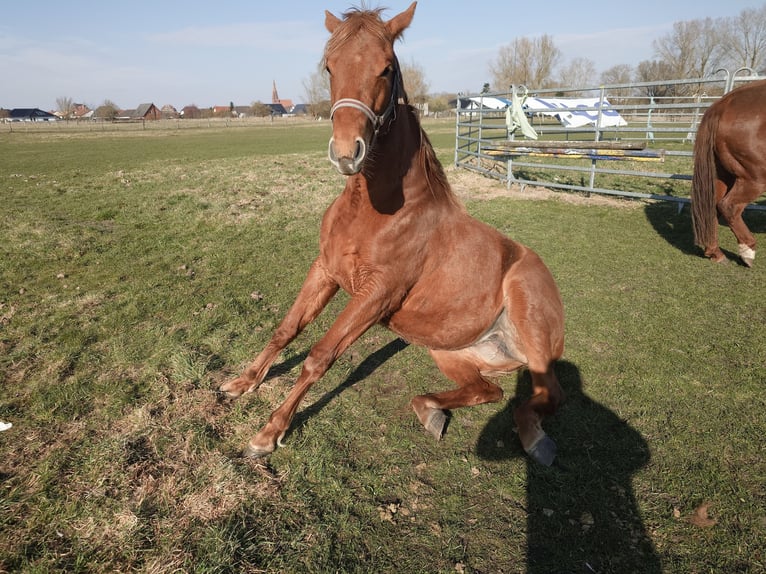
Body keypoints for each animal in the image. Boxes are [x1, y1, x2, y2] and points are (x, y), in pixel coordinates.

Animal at [220, 2, 566, 466]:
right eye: (329, 67)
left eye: (386, 68)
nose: (346, 153)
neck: (376, 212)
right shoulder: (325, 270)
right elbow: (286, 329)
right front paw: (243, 383)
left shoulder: (377, 294)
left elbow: (319, 357)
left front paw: (269, 432)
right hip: (447, 352)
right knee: (487, 390)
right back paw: (430, 410)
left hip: (529, 320)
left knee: (547, 397)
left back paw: (534, 438)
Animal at [691, 79, 766, 267]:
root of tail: (722, 105)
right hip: (755, 178)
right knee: (729, 206)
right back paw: (747, 252)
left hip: (721, 174)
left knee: (714, 207)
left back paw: (715, 252)